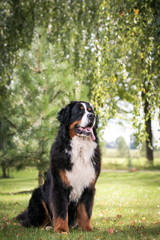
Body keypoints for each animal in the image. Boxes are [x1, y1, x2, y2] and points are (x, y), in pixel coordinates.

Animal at [16, 101, 101, 232]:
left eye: (91, 110)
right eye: (80, 110)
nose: (92, 116)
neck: (80, 149)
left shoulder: (89, 186)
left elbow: (86, 212)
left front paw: (88, 230)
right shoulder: (59, 186)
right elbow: (61, 211)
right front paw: (61, 230)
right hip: (38, 196)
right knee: (31, 222)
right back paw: (47, 227)